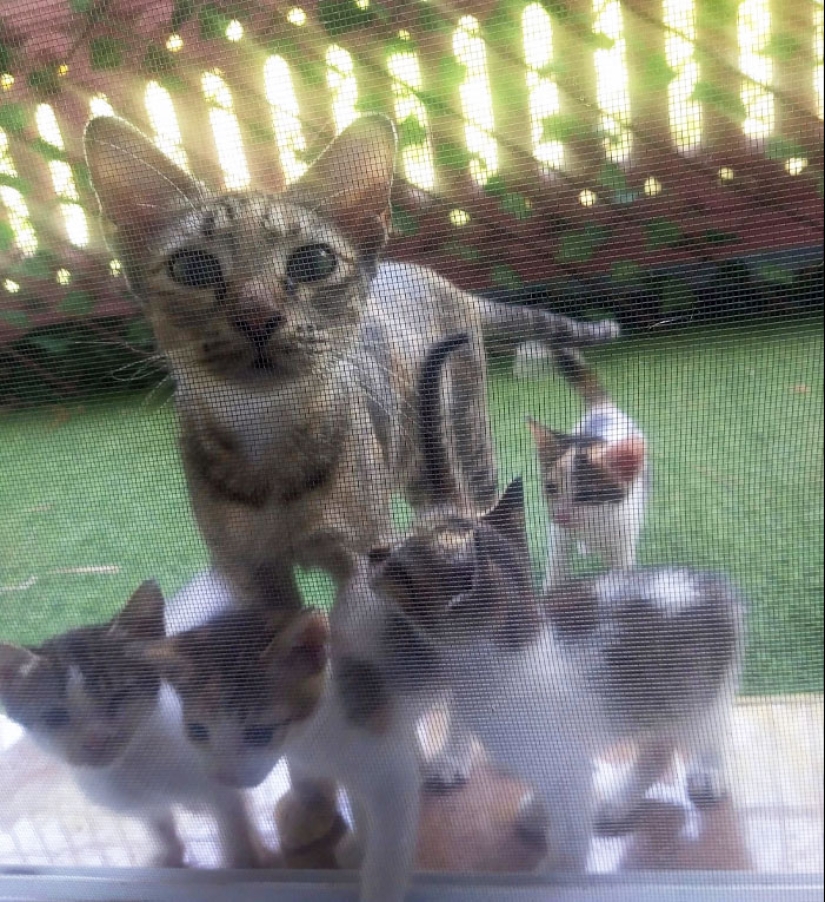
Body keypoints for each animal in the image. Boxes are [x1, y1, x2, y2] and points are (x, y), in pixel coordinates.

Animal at [83, 113, 616, 608]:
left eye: (313, 262)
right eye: (192, 268)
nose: (257, 315)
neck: (267, 450)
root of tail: (442, 279)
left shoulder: (361, 553)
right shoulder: (246, 570)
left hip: (468, 440)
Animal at [528, 348, 652, 592]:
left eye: (586, 494)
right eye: (551, 487)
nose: (562, 516)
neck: (594, 526)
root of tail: (605, 407)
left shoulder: (624, 538)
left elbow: (621, 572)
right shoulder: (559, 535)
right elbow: (556, 566)